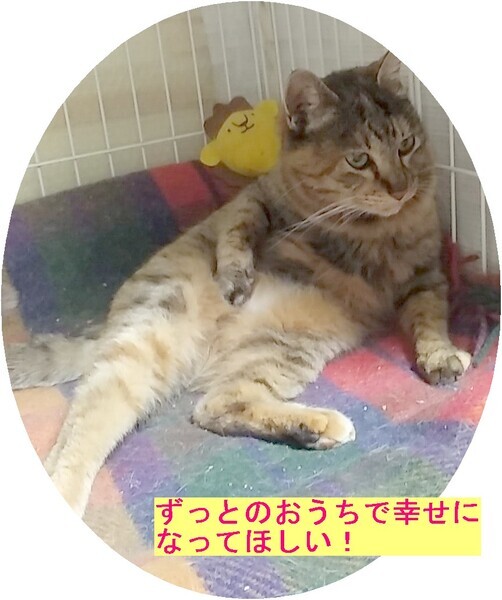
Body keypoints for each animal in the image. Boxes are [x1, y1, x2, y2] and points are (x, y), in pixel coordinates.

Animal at [6, 52, 471, 518]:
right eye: (359, 160)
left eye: (406, 145)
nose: (401, 189)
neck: (368, 230)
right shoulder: (255, 199)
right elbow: (236, 231)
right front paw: (236, 277)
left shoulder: (426, 275)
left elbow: (430, 318)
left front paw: (440, 355)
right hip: (146, 341)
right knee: (83, 431)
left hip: (281, 349)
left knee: (216, 404)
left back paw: (312, 426)